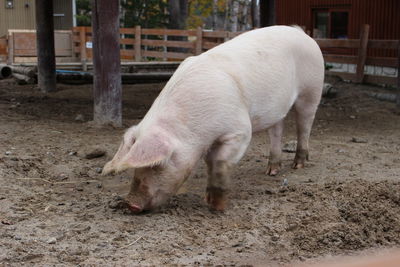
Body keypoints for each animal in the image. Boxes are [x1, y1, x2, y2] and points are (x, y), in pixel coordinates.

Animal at [101, 25, 324, 214]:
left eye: (157, 165)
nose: (130, 203)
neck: (197, 131)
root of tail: (302, 33)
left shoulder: (239, 130)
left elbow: (220, 160)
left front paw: (216, 206)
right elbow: (210, 162)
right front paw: (208, 199)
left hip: (311, 91)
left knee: (305, 124)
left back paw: (298, 165)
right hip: (278, 108)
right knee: (277, 130)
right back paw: (271, 171)